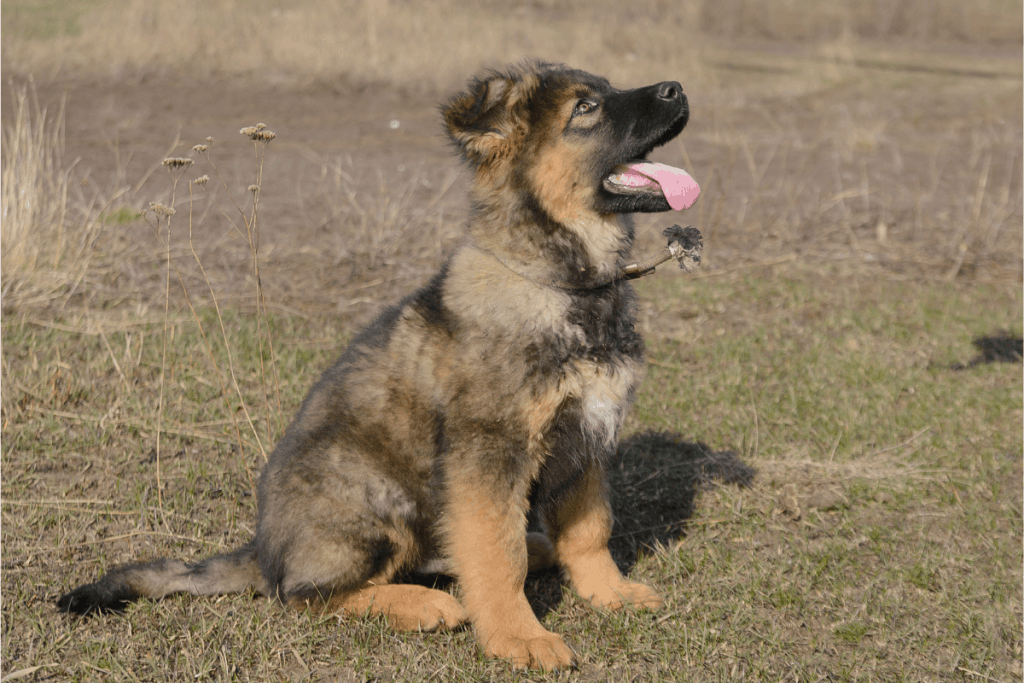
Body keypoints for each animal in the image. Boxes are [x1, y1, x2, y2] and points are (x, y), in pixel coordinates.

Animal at [59, 61, 700, 671]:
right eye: (586, 109)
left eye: (608, 88)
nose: (677, 87)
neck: (566, 284)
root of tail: (263, 551)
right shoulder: (489, 451)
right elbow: (499, 555)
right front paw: (519, 636)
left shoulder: (586, 439)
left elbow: (590, 530)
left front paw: (608, 592)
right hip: (371, 491)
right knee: (305, 593)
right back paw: (422, 603)